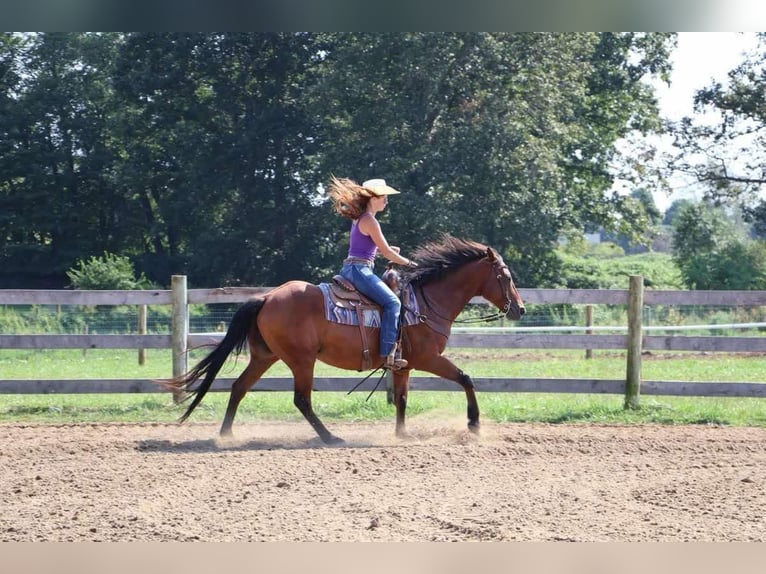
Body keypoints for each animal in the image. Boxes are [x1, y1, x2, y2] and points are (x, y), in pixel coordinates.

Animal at [165, 235, 525, 444]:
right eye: (505, 276)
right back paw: (330, 437)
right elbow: (465, 378)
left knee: (240, 387)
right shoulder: (428, 358)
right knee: (301, 399)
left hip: (265, 356)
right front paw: (474, 423)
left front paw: (402, 434)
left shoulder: (404, 365)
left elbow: (402, 398)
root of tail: (266, 297)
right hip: (301, 360)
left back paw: (226, 435)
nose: (519, 308)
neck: (423, 303)